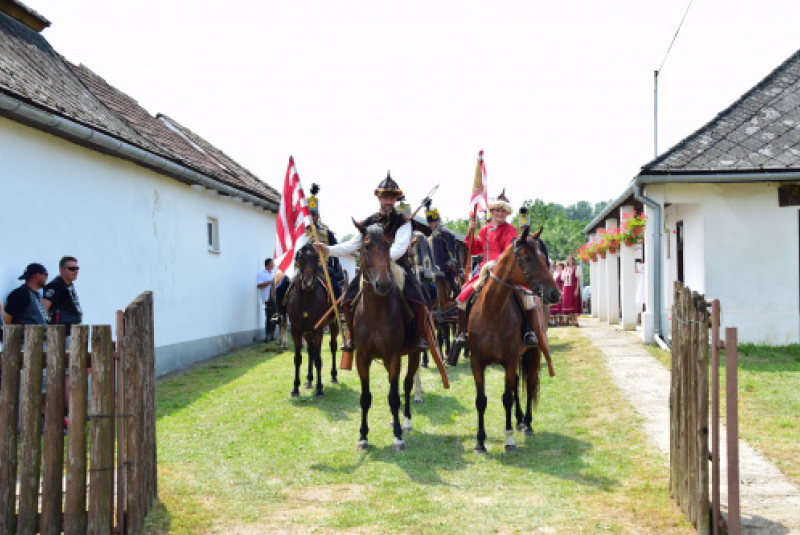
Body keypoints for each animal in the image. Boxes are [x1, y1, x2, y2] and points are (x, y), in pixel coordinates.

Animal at [286, 243, 340, 398]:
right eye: (300, 259)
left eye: (316, 259)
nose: (308, 283)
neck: (306, 299)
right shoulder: (296, 330)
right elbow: (298, 359)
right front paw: (295, 388)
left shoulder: (319, 330)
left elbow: (318, 358)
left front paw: (320, 388)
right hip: (307, 332)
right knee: (310, 350)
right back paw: (309, 380)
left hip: (333, 326)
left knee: (332, 346)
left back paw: (333, 376)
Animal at [352, 220, 422, 450]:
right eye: (366, 247)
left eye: (388, 247)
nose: (382, 284)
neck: (376, 312)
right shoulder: (362, 358)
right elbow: (365, 397)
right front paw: (363, 436)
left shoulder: (393, 357)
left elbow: (394, 396)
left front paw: (398, 436)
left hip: (414, 354)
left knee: (407, 385)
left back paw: (405, 421)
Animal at [466, 226, 560, 452]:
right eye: (528, 258)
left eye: (544, 258)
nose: (555, 293)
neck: (491, 312)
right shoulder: (477, 362)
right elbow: (481, 400)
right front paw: (480, 441)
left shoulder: (509, 360)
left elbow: (507, 398)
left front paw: (509, 440)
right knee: (518, 383)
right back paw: (519, 420)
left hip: (534, 353)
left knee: (530, 384)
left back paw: (527, 423)